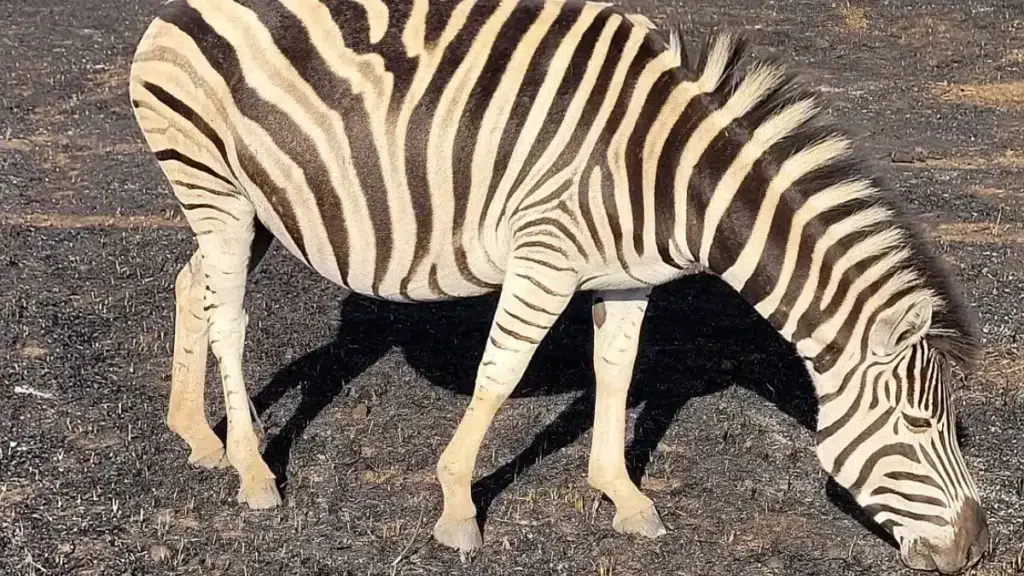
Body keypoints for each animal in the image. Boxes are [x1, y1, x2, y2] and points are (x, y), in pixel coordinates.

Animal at [128, 0, 989, 572]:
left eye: (954, 428)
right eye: (921, 426)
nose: (976, 547)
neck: (671, 179)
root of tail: (178, 9)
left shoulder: (628, 279)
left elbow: (618, 372)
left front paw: (623, 495)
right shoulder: (545, 255)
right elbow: (500, 374)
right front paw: (456, 507)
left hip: (261, 199)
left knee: (192, 287)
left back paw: (196, 434)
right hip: (214, 183)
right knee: (230, 316)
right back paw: (251, 470)